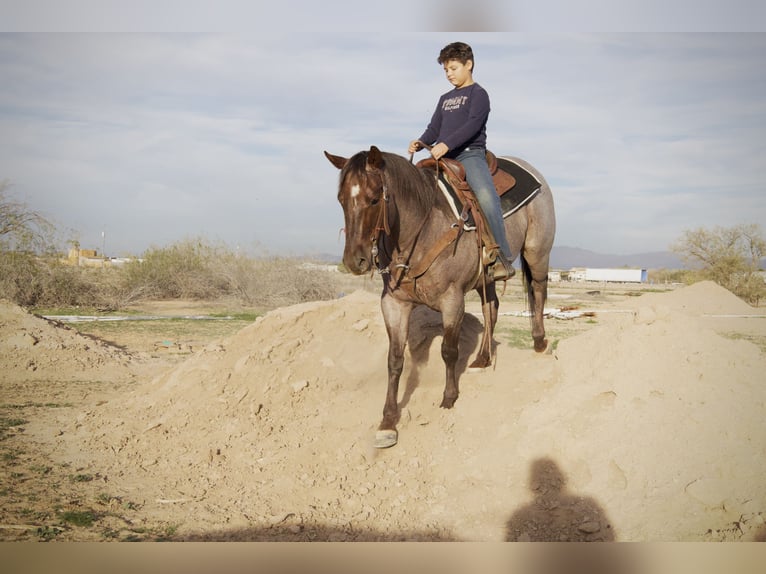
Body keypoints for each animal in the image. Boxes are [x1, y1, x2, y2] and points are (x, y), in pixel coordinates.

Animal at [325, 146, 555, 448]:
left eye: (374, 199)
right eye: (341, 200)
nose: (355, 261)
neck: (419, 231)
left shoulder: (452, 300)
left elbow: (449, 351)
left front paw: (449, 397)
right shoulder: (393, 304)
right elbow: (395, 360)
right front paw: (388, 421)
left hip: (537, 252)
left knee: (538, 291)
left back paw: (540, 342)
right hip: (485, 278)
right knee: (491, 307)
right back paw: (483, 358)